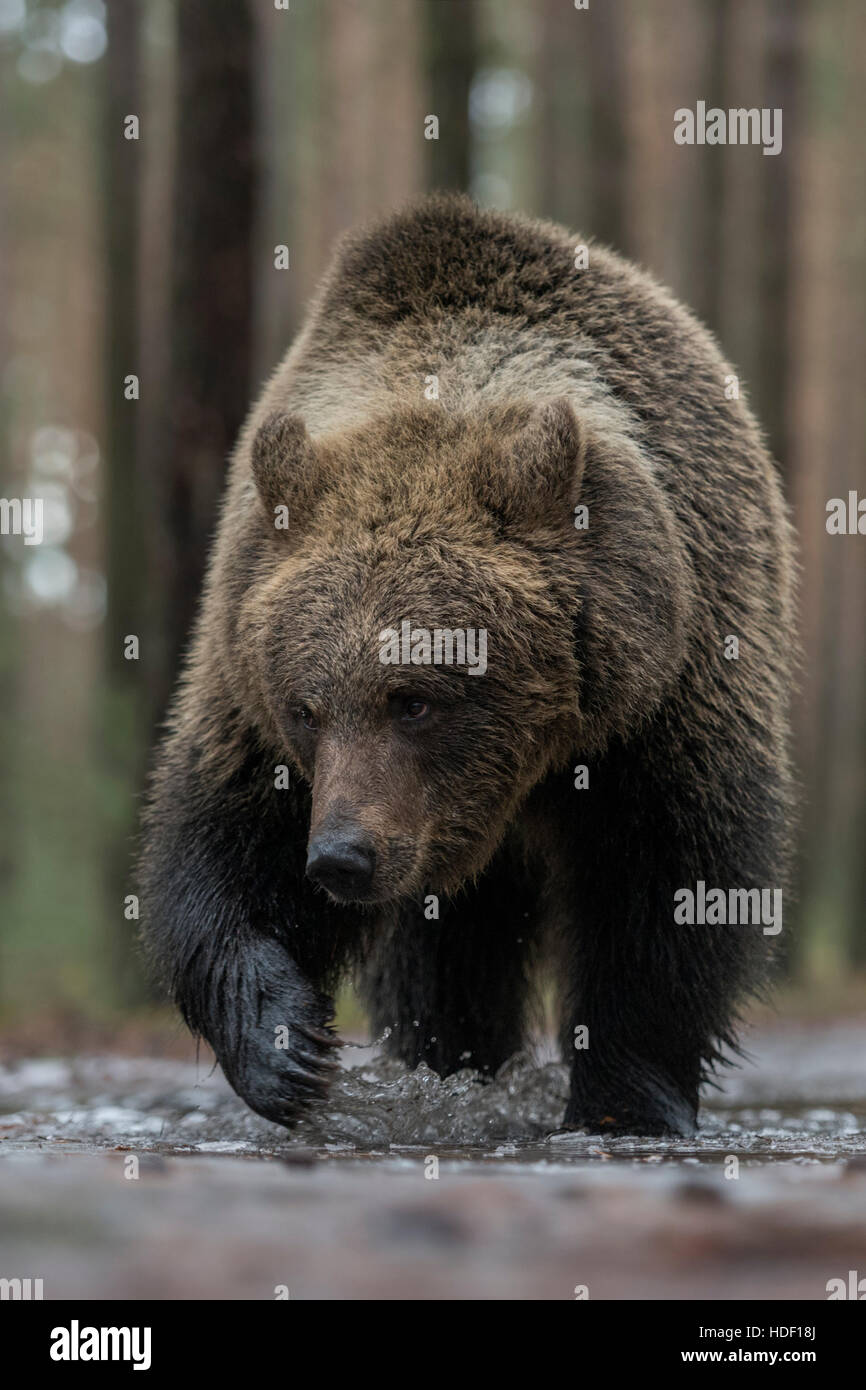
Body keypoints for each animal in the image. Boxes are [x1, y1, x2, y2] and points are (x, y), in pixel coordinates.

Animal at [140, 193, 796, 1137]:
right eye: (307, 708)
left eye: (413, 699)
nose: (340, 858)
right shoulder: (248, 688)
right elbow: (220, 858)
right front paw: (287, 1047)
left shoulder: (668, 695)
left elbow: (671, 889)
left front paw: (626, 1099)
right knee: (444, 955)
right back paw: (450, 1062)